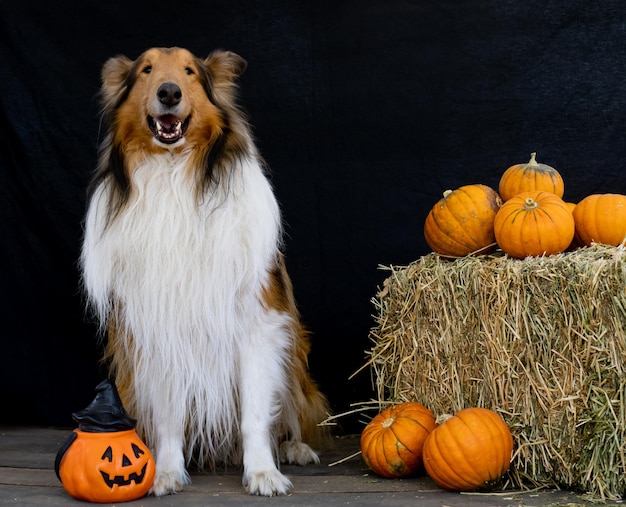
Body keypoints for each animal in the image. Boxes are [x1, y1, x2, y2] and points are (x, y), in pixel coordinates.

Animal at [80, 47, 330, 496]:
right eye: (146, 69)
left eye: (189, 71)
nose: (168, 93)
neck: (176, 176)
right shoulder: (158, 329)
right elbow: (168, 418)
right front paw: (165, 472)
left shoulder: (259, 325)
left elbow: (254, 413)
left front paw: (262, 472)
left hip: (295, 357)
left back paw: (294, 448)